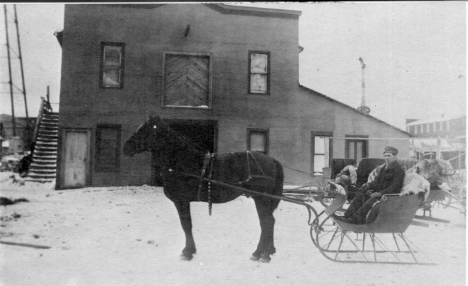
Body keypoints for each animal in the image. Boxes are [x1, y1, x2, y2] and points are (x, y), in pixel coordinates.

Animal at [122, 115, 284, 262]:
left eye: (143, 130)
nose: (125, 147)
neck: (183, 163)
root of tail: (271, 160)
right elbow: (187, 225)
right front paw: (190, 250)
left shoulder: (181, 201)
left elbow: (186, 225)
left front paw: (187, 252)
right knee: (268, 222)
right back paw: (266, 252)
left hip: (261, 198)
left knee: (267, 222)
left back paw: (262, 254)